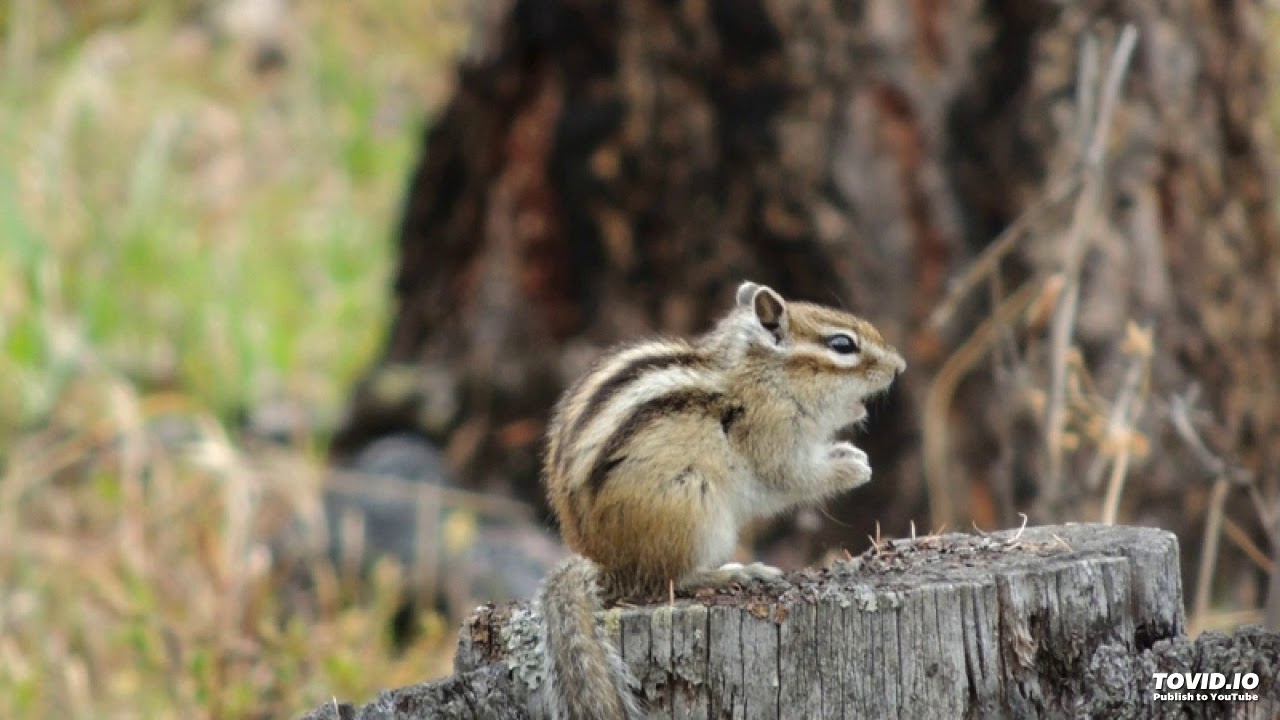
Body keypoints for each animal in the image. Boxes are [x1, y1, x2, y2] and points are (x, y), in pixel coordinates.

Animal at [535, 281, 905, 719]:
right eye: (843, 344)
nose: (899, 367)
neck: (767, 377)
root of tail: (605, 564)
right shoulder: (772, 436)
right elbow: (791, 477)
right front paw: (853, 467)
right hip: (695, 511)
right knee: (672, 580)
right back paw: (734, 573)